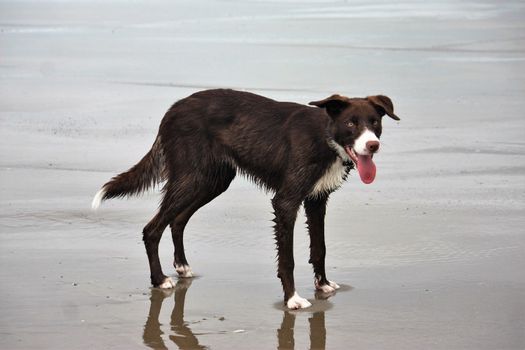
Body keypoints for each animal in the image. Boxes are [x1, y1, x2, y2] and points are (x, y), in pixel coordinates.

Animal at [92, 89, 400, 308]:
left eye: (374, 122)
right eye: (351, 123)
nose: (373, 145)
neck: (325, 136)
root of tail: (172, 110)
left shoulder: (317, 200)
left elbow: (319, 248)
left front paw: (322, 285)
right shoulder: (286, 201)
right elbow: (287, 258)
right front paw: (292, 299)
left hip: (211, 181)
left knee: (177, 220)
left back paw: (182, 266)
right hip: (191, 178)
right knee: (152, 228)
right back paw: (159, 280)